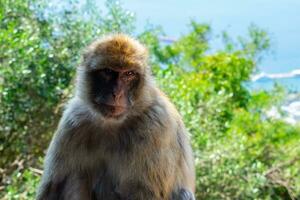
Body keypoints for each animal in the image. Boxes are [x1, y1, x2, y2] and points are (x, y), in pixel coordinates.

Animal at [36, 33, 196, 199]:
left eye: (129, 74)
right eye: (108, 72)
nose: (116, 94)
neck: (112, 123)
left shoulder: (157, 126)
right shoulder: (73, 122)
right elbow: (53, 188)